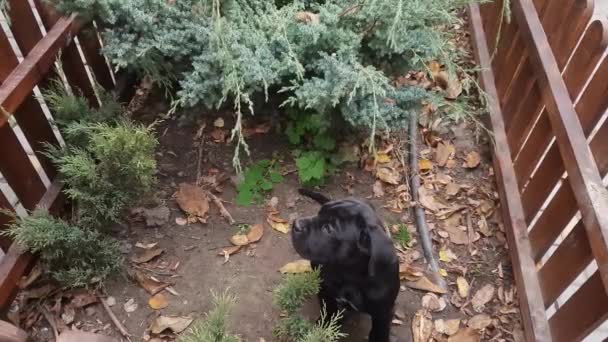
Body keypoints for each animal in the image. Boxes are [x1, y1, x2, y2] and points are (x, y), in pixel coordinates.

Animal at [292, 190, 402, 342]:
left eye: (328, 228)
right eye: (319, 213)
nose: (296, 224)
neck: (349, 276)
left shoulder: (384, 313)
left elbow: (379, 333)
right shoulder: (326, 293)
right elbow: (328, 312)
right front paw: (324, 328)